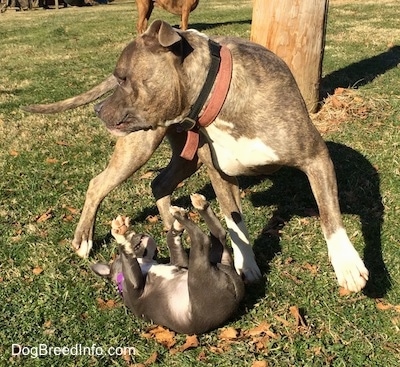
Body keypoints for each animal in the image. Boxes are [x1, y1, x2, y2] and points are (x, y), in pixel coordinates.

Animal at [92, 196, 245, 336]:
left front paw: (176, 228)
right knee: (203, 240)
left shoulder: (179, 262)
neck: (145, 263)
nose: (140, 234)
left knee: (218, 235)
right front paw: (121, 235)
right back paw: (184, 213)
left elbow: (171, 242)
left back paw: (196, 208)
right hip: (197, 275)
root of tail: (236, 294)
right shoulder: (134, 286)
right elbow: (128, 257)